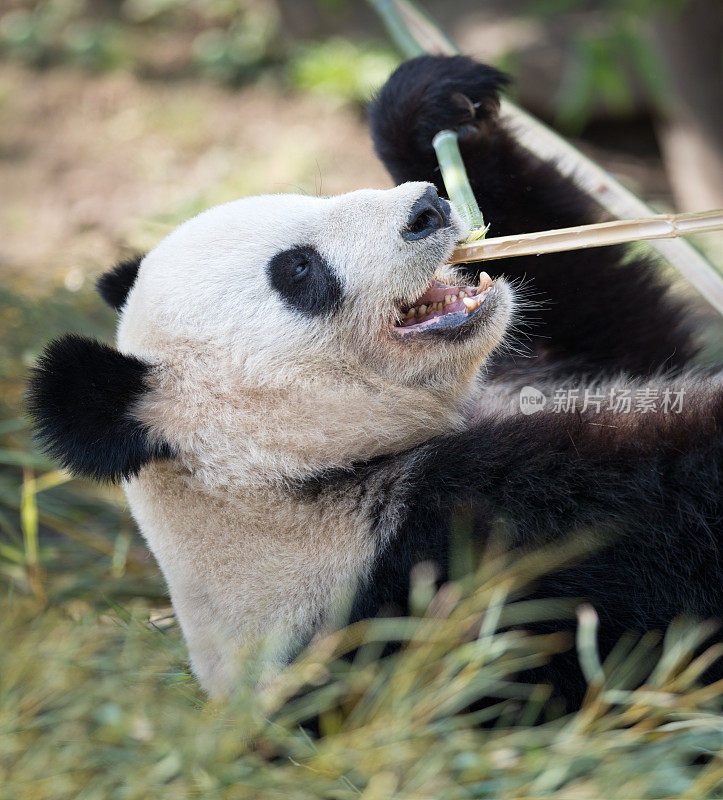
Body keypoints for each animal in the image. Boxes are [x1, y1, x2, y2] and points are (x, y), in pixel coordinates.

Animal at [25, 54, 720, 708]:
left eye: (308, 200)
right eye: (298, 270)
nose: (426, 208)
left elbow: (620, 318)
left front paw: (432, 108)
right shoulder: (449, 548)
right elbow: (663, 518)